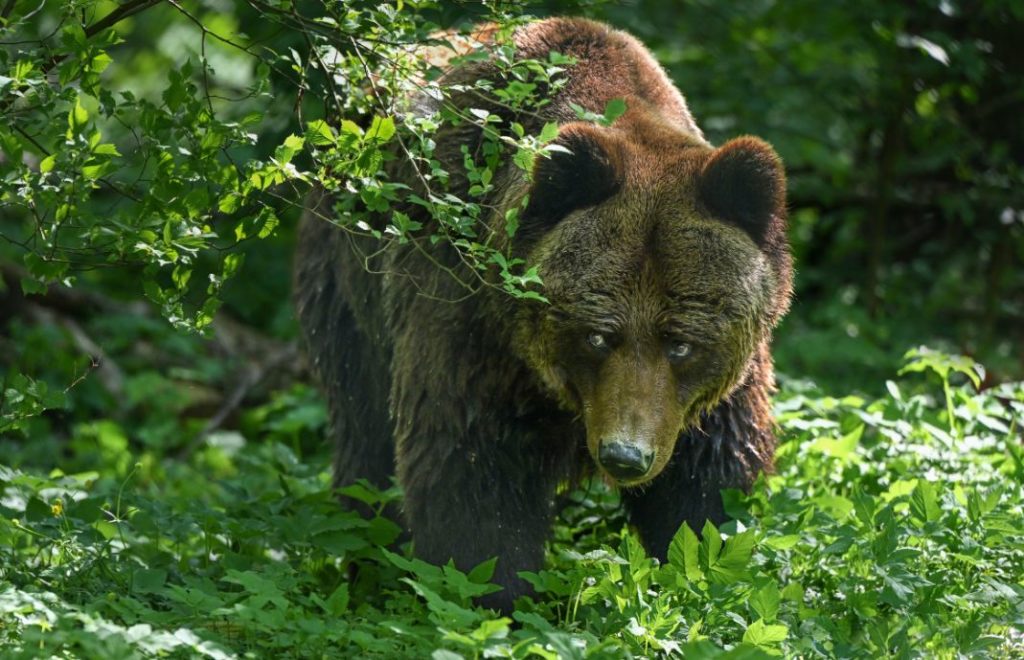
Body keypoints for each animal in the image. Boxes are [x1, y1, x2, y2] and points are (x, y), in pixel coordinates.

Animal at [294, 16, 790, 613]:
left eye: (682, 342)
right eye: (598, 336)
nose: (625, 456)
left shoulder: (711, 394)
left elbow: (708, 486)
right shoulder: (471, 326)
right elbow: (472, 474)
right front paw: (491, 595)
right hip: (350, 288)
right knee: (364, 435)